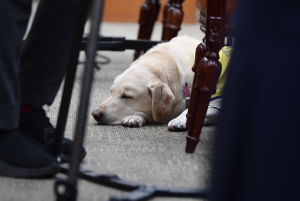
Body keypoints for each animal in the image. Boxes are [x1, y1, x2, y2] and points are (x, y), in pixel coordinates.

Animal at [92, 35, 224, 131]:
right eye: (111, 92)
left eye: (127, 96)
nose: (95, 113)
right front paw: (135, 117)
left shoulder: (213, 103)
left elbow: (191, 111)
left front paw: (180, 120)